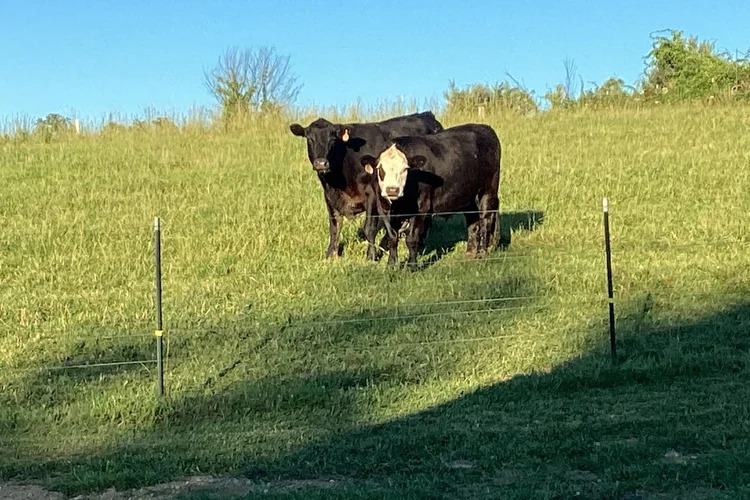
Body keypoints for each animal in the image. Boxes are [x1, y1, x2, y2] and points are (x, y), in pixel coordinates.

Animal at [289, 112, 444, 260]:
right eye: (309, 138)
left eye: (333, 139)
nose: (321, 163)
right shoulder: (329, 196)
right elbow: (334, 226)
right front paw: (330, 254)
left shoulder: (372, 193)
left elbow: (369, 228)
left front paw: (371, 255)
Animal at [360, 124, 501, 269]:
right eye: (380, 169)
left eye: (405, 169)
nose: (392, 190)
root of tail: (484, 127)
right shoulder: (383, 207)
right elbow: (392, 237)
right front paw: (391, 265)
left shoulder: (421, 207)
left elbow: (412, 238)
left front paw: (412, 266)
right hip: (466, 194)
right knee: (473, 220)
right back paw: (470, 252)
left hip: (489, 188)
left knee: (485, 219)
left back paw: (482, 253)